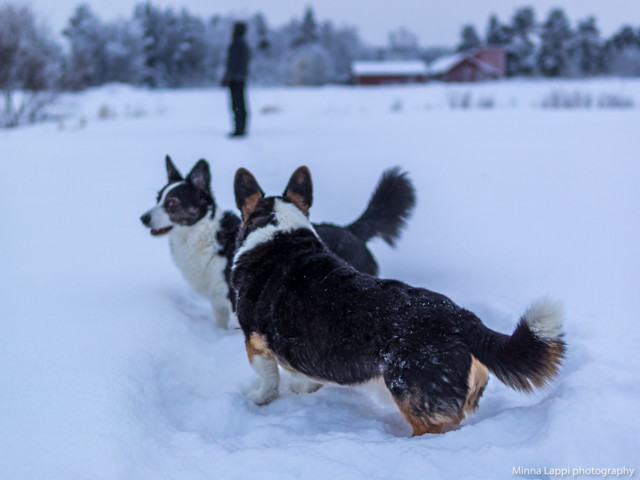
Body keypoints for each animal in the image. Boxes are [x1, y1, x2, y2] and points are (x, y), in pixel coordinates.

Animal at [141, 156, 416, 328]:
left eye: (172, 203)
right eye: (157, 198)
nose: (142, 218)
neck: (203, 232)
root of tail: (352, 230)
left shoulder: (234, 297)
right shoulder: (217, 301)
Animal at [230, 167, 564, 436]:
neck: (280, 234)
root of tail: (462, 318)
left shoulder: (254, 342)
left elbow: (268, 378)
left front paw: (260, 399)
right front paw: (304, 389)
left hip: (410, 393)